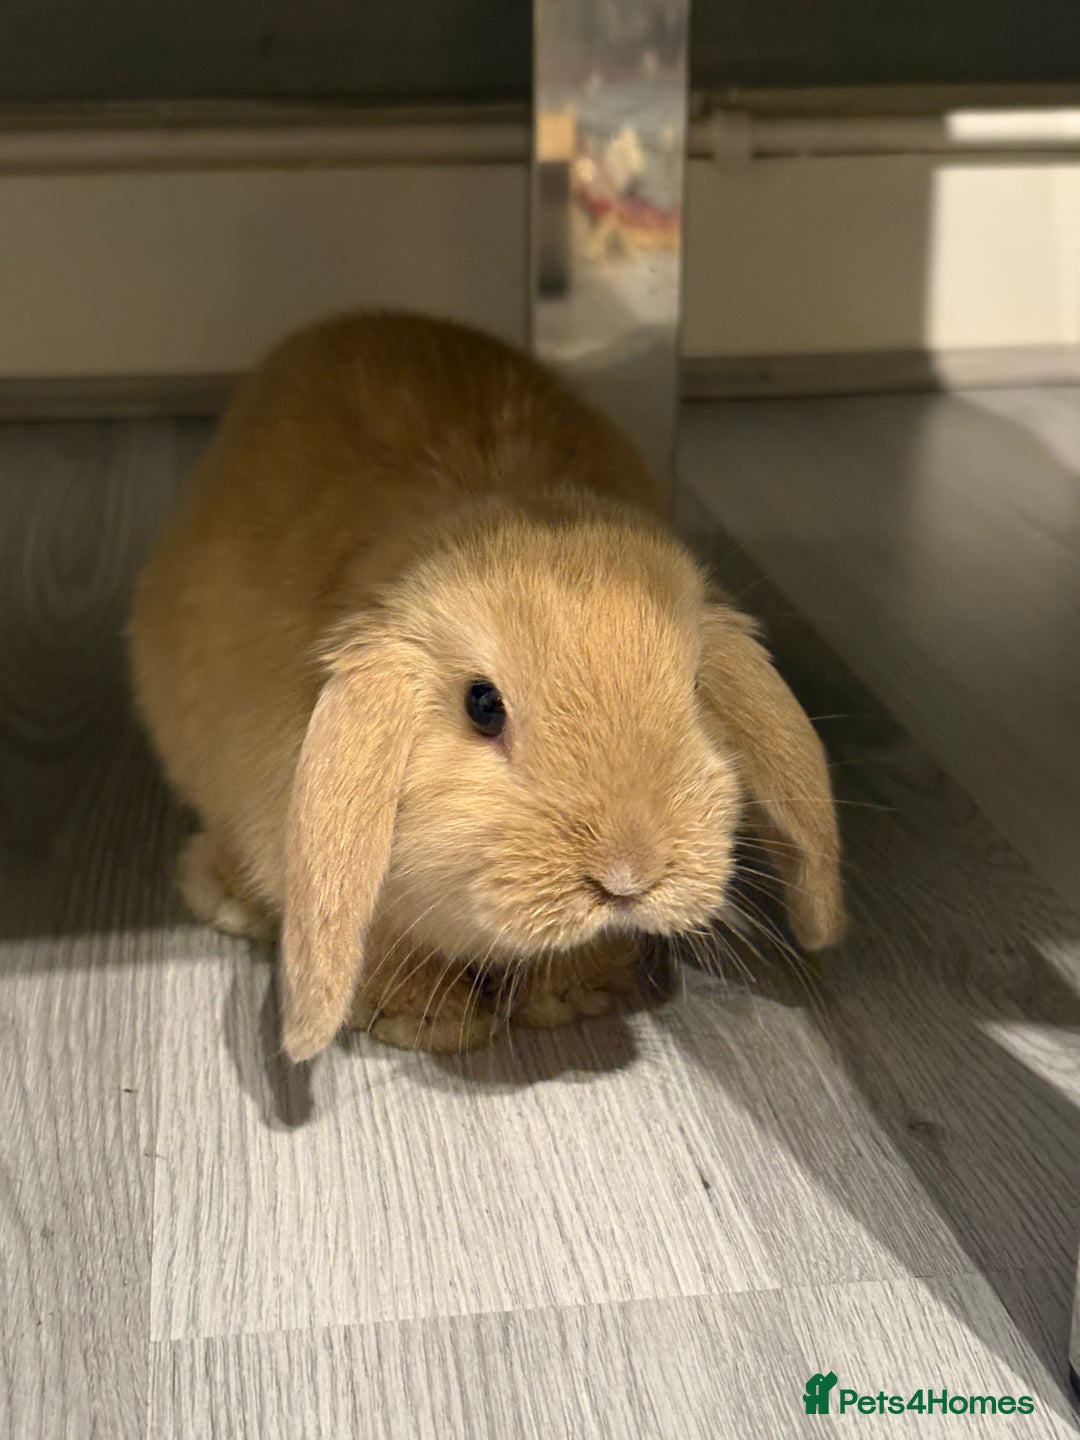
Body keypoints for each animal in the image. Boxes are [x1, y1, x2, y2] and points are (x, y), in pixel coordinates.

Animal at [128, 310, 845, 1063]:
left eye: (696, 687)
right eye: (482, 705)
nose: (626, 877)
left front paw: (572, 996)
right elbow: (383, 950)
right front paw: (424, 1024)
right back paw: (229, 900)